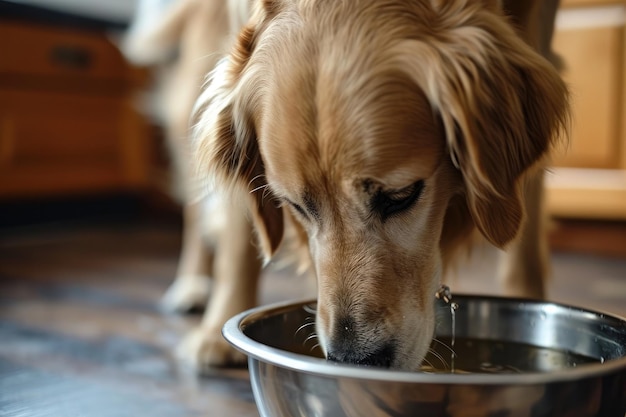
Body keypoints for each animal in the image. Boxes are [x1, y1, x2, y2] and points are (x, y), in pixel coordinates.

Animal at [125, 0, 564, 370]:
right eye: (295, 206)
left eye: (400, 197)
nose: (355, 359)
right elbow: (238, 236)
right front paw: (218, 329)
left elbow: (523, 235)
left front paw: (526, 303)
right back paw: (193, 284)